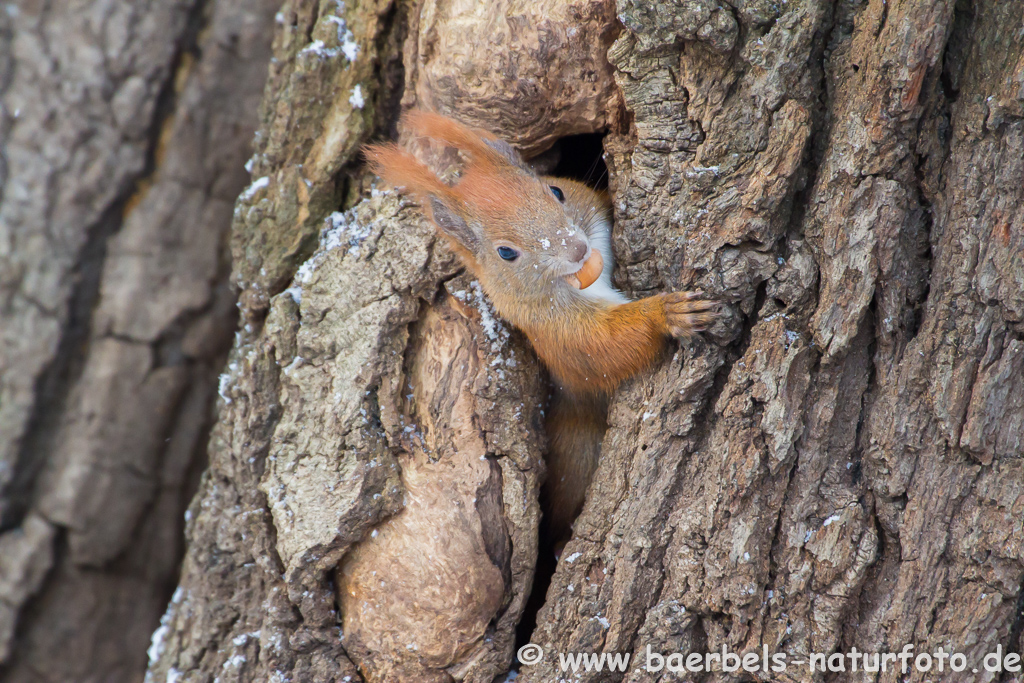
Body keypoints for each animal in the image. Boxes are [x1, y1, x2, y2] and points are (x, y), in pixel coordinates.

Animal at [364, 112, 716, 548]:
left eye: (556, 190)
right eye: (506, 253)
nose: (577, 250)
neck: (580, 280)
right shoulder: (554, 332)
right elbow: (604, 348)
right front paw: (668, 313)